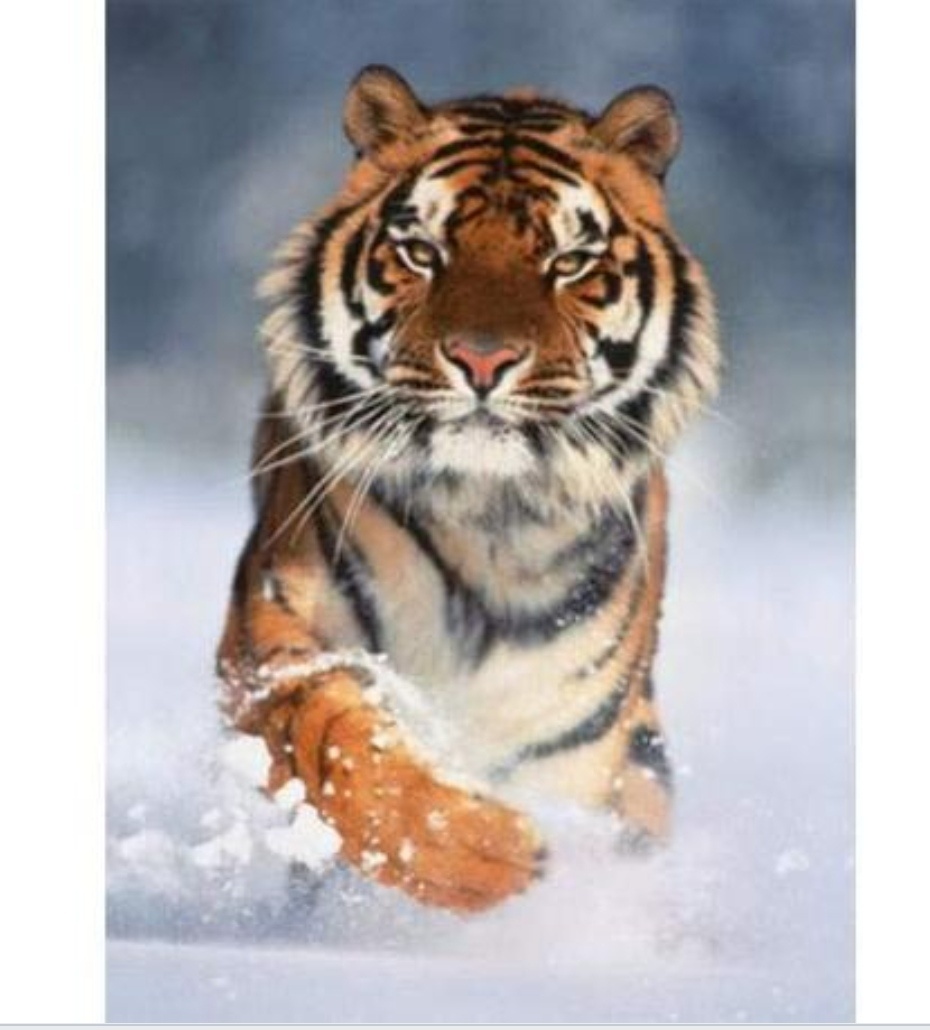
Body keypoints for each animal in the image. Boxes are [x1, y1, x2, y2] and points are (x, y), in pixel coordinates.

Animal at [217, 65, 720, 914]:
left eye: (568, 262)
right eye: (423, 252)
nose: (483, 360)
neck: (488, 515)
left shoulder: (575, 729)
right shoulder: (272, 641)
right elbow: (339, 747)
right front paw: (482, 851)